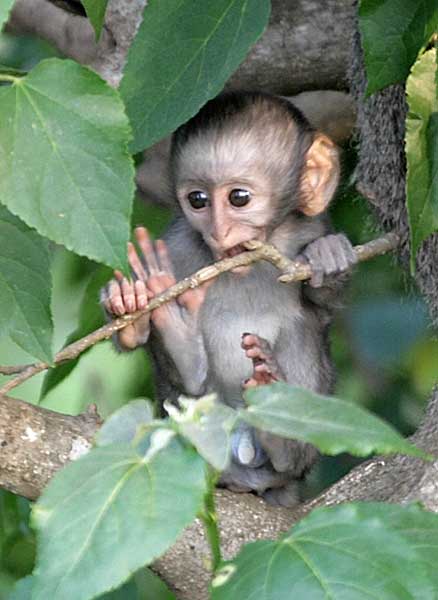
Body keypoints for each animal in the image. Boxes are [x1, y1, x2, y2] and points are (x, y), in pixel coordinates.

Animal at [102, 92, 356, 506]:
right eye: (198, 200)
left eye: (239, 198)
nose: (219, 232)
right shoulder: (178, 245)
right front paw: (129, 302)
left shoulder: (309, 225)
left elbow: (322, 306)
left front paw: (328, 256)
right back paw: (180, 341)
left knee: (301, 326)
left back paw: (280, 433)